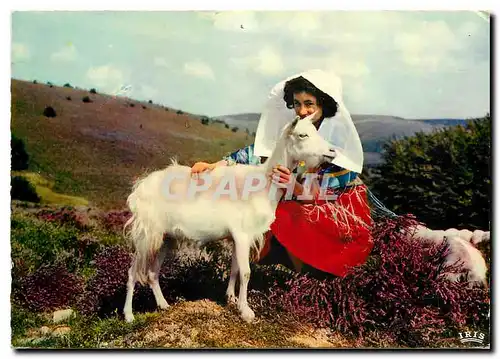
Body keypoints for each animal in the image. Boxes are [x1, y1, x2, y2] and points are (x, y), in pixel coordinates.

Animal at [121, 112, 332, 324]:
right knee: (133, 272)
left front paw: (231, 298)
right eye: (302, 135)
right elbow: (246, 272)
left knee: (152, 273)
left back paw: (163, 305)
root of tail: (140, 187)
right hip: (146, 233)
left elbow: (235, 269)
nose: (331, 152)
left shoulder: (238, 238)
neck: (263, 184)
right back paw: (129, 315)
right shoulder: (242, 234)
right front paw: (245, 311)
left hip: (165, 237)